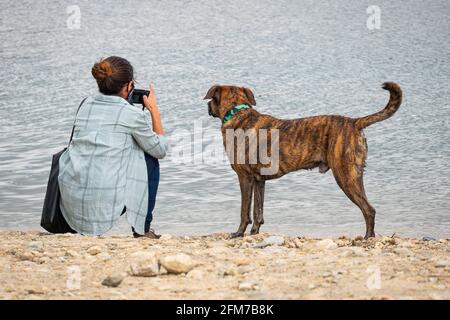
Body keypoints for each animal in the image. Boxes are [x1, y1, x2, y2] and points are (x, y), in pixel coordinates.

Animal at [204, 82, 400, 238]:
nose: (207, 108)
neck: (238, 113)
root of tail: (354, 122)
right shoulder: (259, 181)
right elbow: (258, 211)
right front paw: (254, 233)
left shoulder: (245, 178)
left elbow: (244, 211)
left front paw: (238, 233)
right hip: (355, 176)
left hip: (345, 177)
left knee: (368, 210)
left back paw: (367, 238)